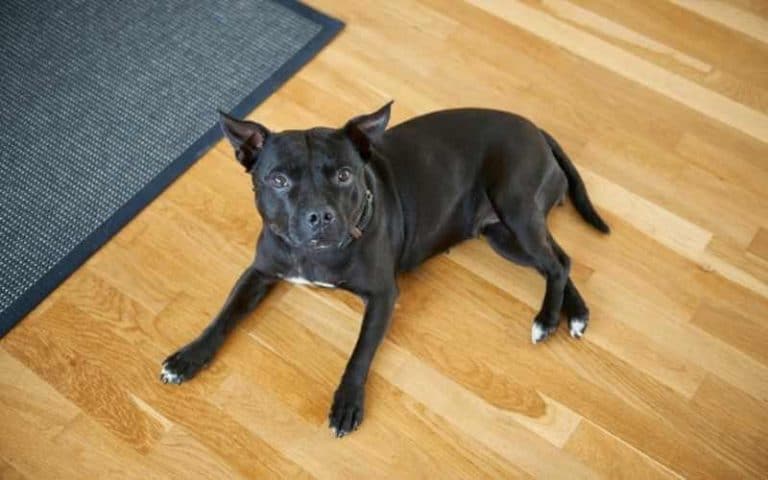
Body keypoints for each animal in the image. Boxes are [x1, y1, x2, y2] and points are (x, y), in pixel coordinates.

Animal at [159, 103, 608, 436]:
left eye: (344, 174)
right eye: (278, 180)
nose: (319, 215)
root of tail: (536, 129)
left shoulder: (382, 296)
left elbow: (360, 353)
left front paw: (347, 403)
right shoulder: (260, 272)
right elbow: (224, 315)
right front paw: (188, 357)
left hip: (515, 208)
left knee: (555, 263)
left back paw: (547, 319)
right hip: (503, 234)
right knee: (559, 259)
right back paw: (575, 314)